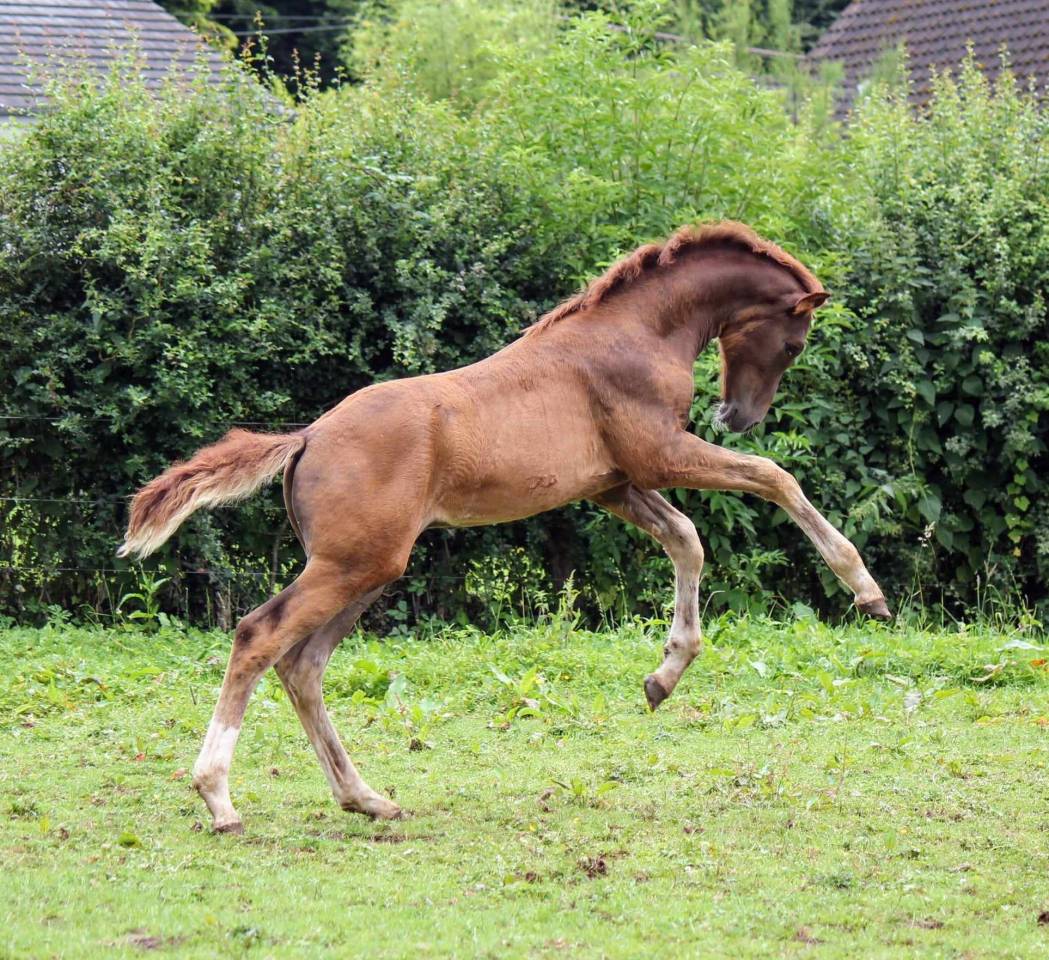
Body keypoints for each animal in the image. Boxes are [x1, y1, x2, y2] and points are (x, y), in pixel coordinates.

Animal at [118, 221, 890, 834]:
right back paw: (219, 799)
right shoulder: (658, 453)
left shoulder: (615, 482)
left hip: (368, 568)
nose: (738, 417)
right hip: (349, 565)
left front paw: (664, 675)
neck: (636, 331)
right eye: (794, 343)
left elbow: (686, 539)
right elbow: (773, 477)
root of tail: (306, 436)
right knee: (258, 636)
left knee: (302, 664)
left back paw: (366, 798)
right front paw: (864, 588)